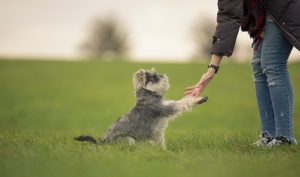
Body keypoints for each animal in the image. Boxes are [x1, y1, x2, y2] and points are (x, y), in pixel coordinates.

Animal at [74, 68, 207, 149]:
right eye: (154, 77)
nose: (162, 75)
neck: (148, 95)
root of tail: (103, 142)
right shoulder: (166, 108)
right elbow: (183, 102)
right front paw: (199, 99)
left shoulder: (158, 133)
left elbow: (161, 143)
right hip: (128, 139)